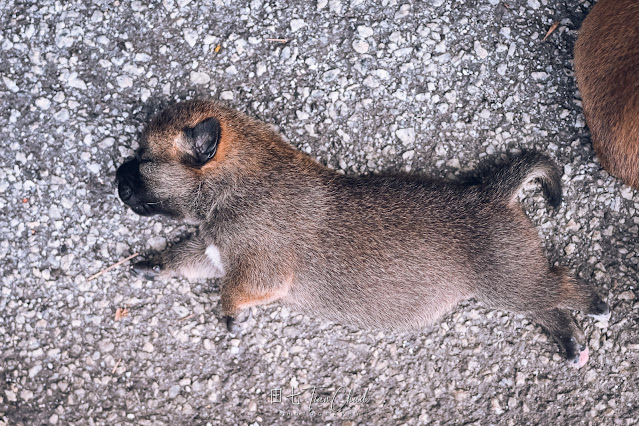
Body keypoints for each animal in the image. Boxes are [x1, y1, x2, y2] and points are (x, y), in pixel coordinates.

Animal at [116, 100, 608, 370]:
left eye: (143, 159)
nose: (116, 177)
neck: (237, 183)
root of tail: (491, 192)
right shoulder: (210, 250)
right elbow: (183, 256)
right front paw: (152, 263)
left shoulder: (259, 273)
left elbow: (230, 291)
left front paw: (230, 316)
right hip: (511, 283)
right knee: (549, 307)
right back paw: (572, 346)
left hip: (508, 280)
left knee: (562, 284)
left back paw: (598, 306)